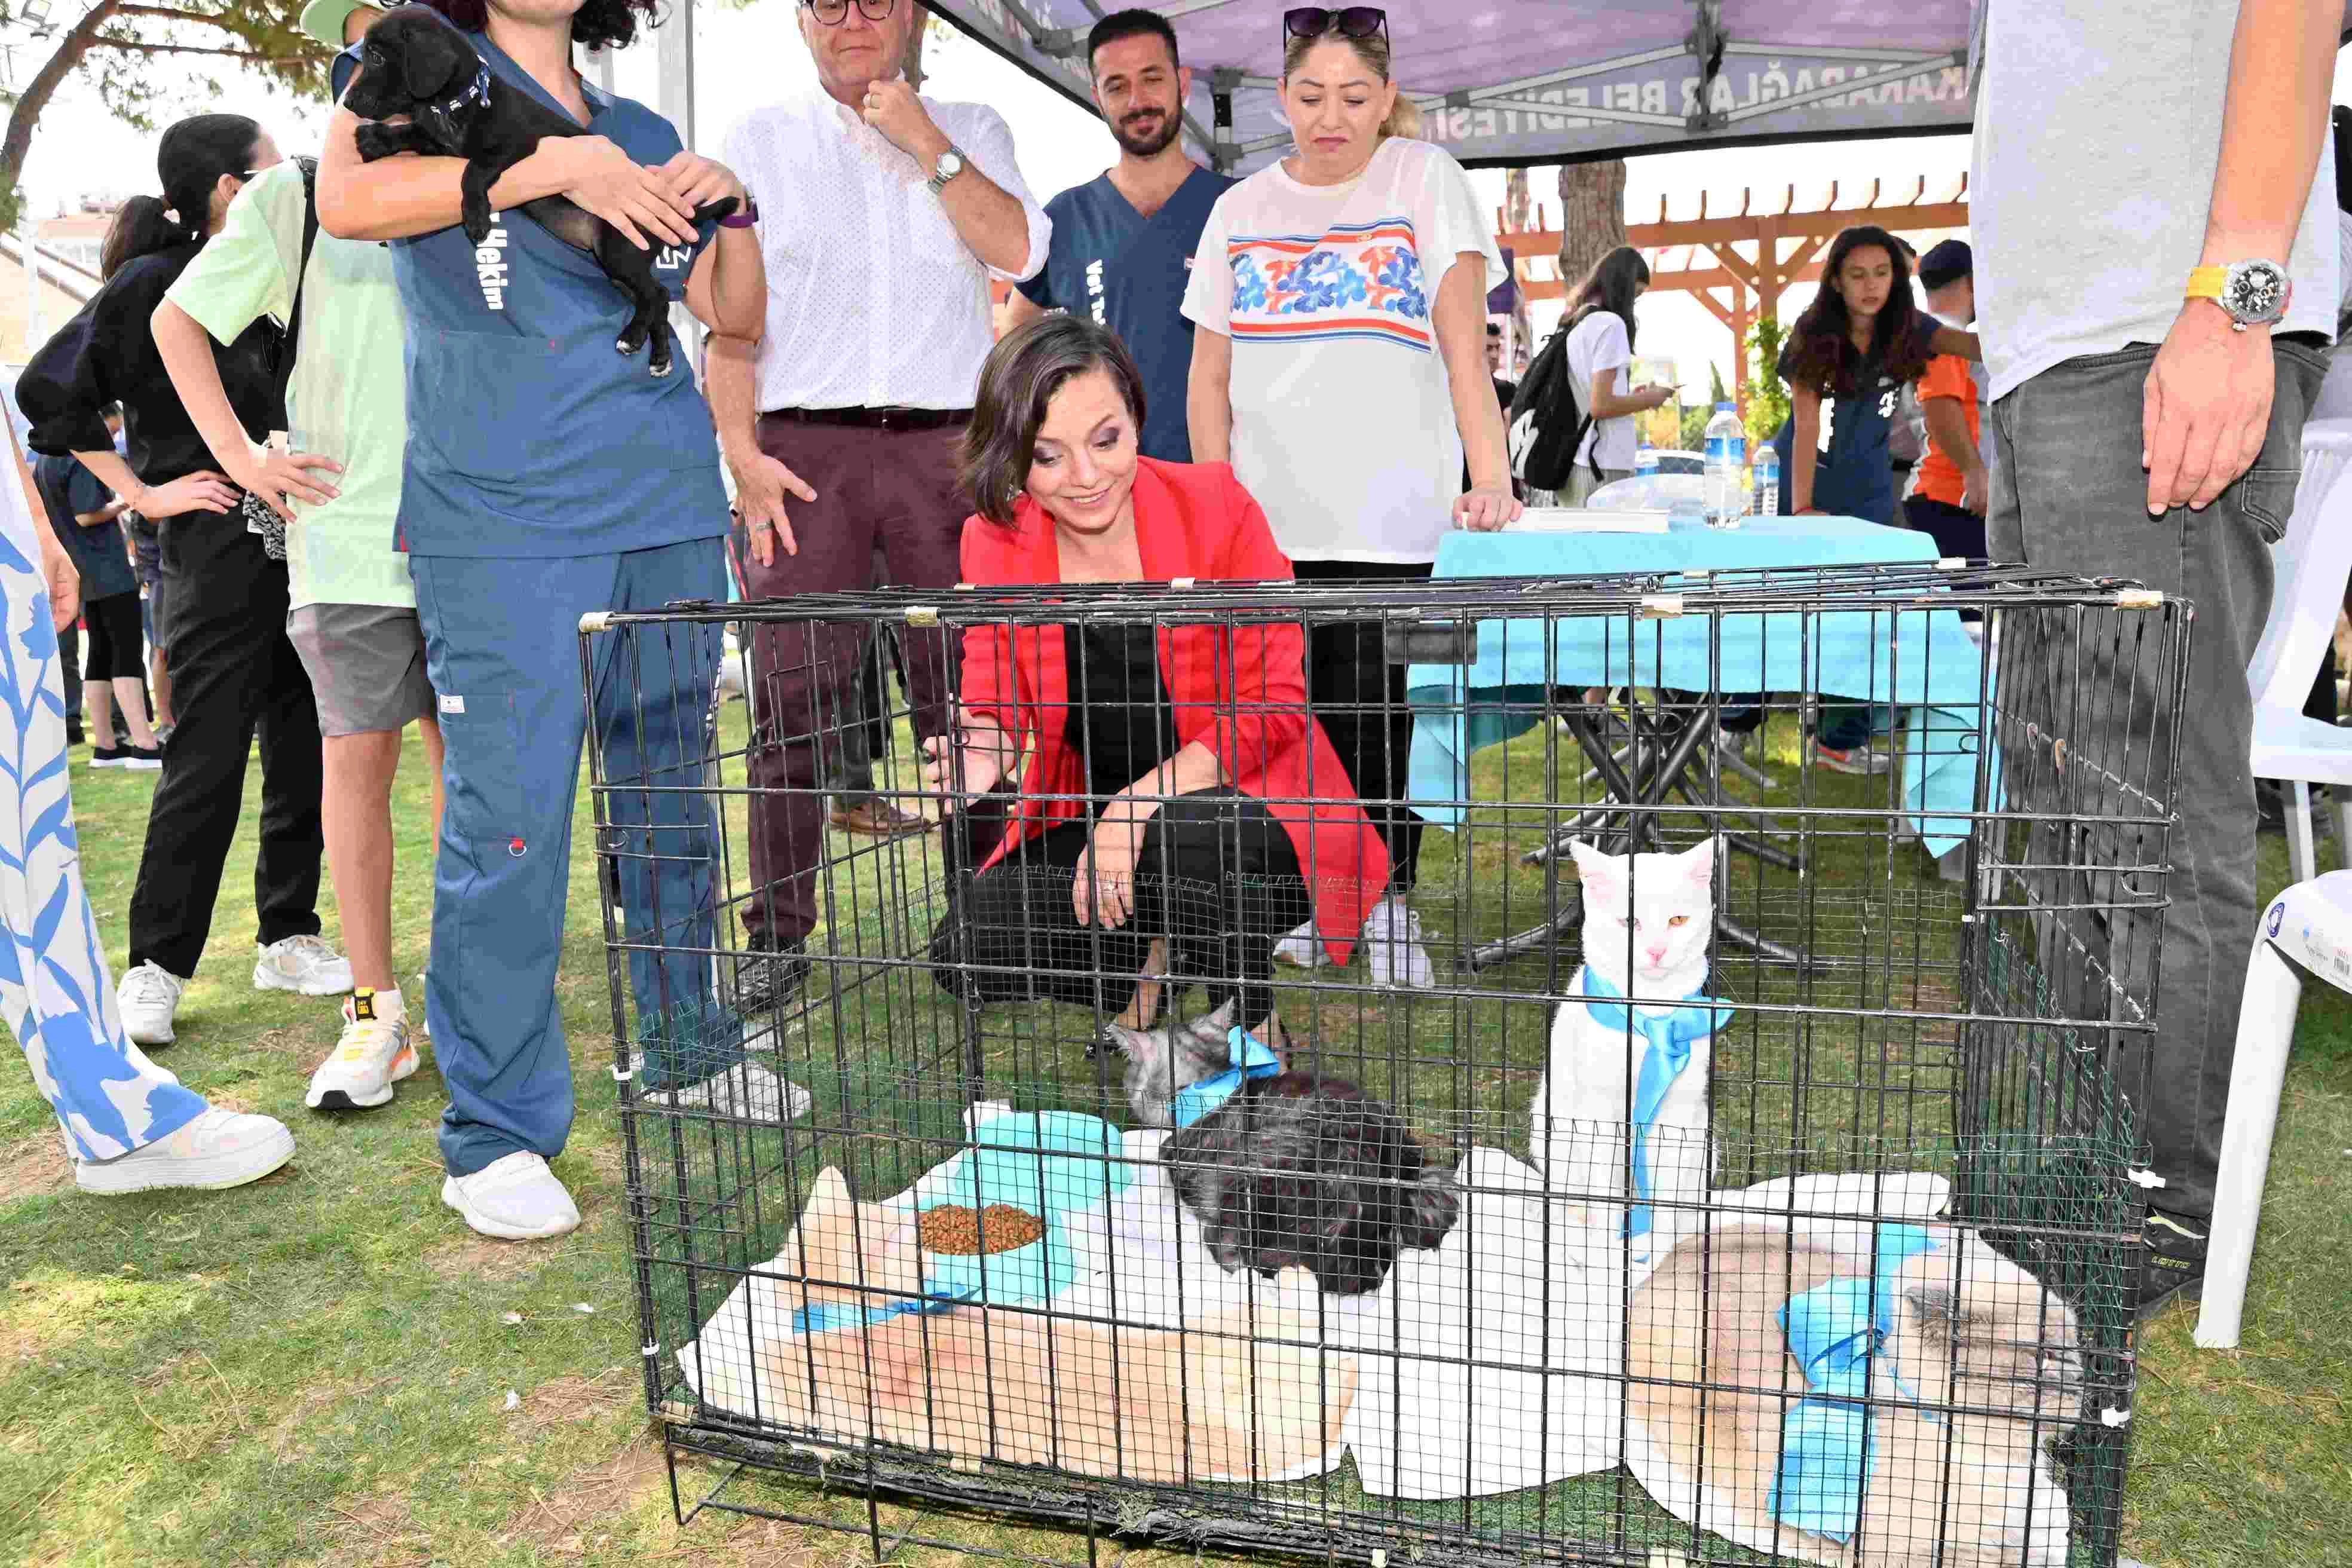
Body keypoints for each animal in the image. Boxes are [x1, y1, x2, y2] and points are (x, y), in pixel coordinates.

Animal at [341, 9, 734, 381]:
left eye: (376, 57)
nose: (347, 102)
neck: (456, 103)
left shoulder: (517, 146)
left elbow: (473, 171)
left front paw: (476, 216)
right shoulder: (438, 143)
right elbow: (411, 131)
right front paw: (376, 139)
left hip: (618, 248)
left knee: (656, 296)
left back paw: (632, 338)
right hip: (621, 268)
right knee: (658, 302)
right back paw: (659, 357)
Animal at [1524, 841, 1731, 1260]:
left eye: (1678, 920)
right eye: (1629, 922)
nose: (1656, 951)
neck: (1648, 1015)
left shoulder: (1679, 1117)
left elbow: (1665, 1195)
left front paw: (1658, 1248)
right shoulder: (1599, 1119)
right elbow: (1606, 1193)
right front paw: (1605, 1258)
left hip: (1706, 1139)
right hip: (1548, 1128)